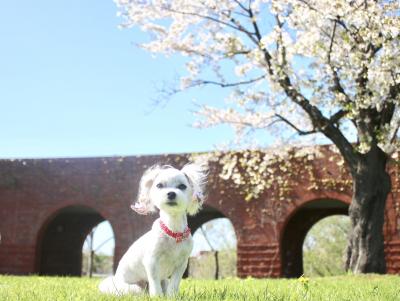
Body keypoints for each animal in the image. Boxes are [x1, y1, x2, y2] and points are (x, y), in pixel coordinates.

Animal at [99, 162, 208, 296]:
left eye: (182, 186)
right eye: (159, 185)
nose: (171, 193)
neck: (173, 231)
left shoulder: (182, 264)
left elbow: (174, 283)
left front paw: (172, 296)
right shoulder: (152, 261)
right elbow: (154, 281)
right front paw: (157, 296)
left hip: (164, 280)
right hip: (132, 288)